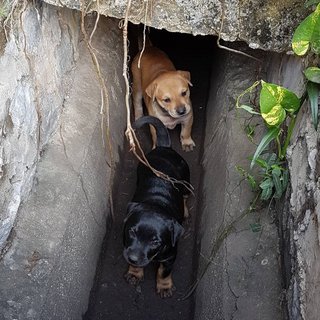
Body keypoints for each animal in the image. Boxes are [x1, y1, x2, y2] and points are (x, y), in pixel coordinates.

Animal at [123, 116, 190, 298]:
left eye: (155, 242)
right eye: (132, 232)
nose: (132, 258)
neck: (157, 203)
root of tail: (164, 147)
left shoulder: (170, 256)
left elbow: (164, 272)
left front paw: (165, 286)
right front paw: (134, 273)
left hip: (186, 180)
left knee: (185, 197)